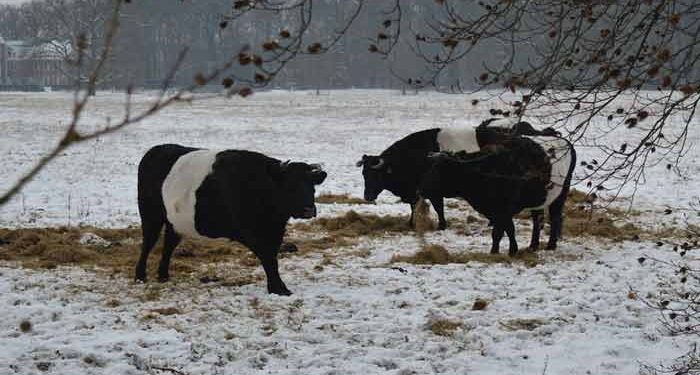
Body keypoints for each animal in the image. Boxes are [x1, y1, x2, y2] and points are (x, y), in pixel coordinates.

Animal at [135, 145, 326, 296]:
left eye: (312, 185)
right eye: (289, 185)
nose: (309, 209)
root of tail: (155, 150)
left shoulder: (273, 231)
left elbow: (272, 257)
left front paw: (277, 287)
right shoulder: (252, 233)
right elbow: (268, 258)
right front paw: (279, 289)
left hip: (176, 222)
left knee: (169, 245)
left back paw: (163, 275)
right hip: (151, 215)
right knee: (148, 243)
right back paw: (140, 276)